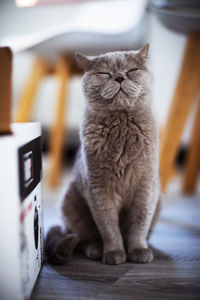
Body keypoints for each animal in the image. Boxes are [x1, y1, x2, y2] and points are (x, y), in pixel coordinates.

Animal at [45, 44, 161, 264]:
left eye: (132, 70)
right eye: (104, 73)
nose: (119, 77)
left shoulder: (146, 187)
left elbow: (139, 224)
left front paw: (139, 250)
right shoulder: (99, 188)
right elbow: (108, 226)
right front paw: (114, 253)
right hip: (70, 204)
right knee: (84, 239)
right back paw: (96, 249)